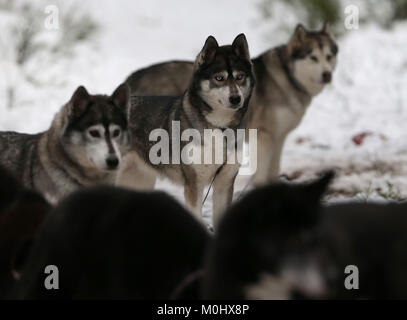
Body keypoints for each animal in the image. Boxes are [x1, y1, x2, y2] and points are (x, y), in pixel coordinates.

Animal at [117, 33, 255, 226]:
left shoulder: (224, 184)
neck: (219, 127)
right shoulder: (193, 185)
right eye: (219, 78)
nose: (235, 98)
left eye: (240, 76)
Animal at [126, 23, 340, 186]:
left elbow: (273, 171)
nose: (327, 74)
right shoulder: (264, 137)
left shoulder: (279, 138)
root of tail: (132, 77)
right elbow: (261, 175)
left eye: (329, 57)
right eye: (313, 57)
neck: (288, 78)